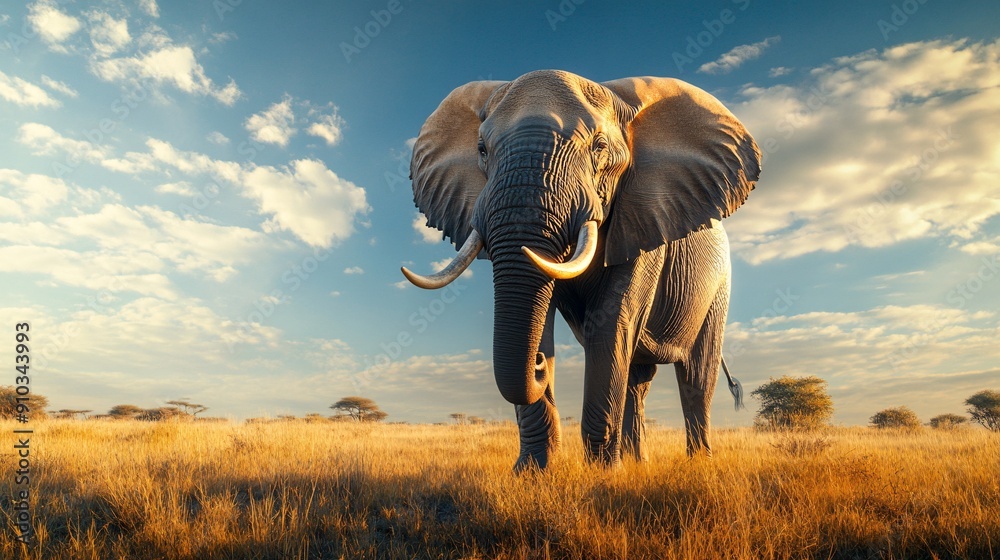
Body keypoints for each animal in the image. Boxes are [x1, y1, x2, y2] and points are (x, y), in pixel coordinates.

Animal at [401, 70, 761, 470]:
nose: (539, 364)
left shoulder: (644, 223)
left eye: (599, 147)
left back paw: (696, 463)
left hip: (718, 289)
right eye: (482, 149)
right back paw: (637, 463)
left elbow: (610, 324)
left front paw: (603, 474)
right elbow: (543, 316)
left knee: (696, 378)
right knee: (638, 378)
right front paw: (533, 473)